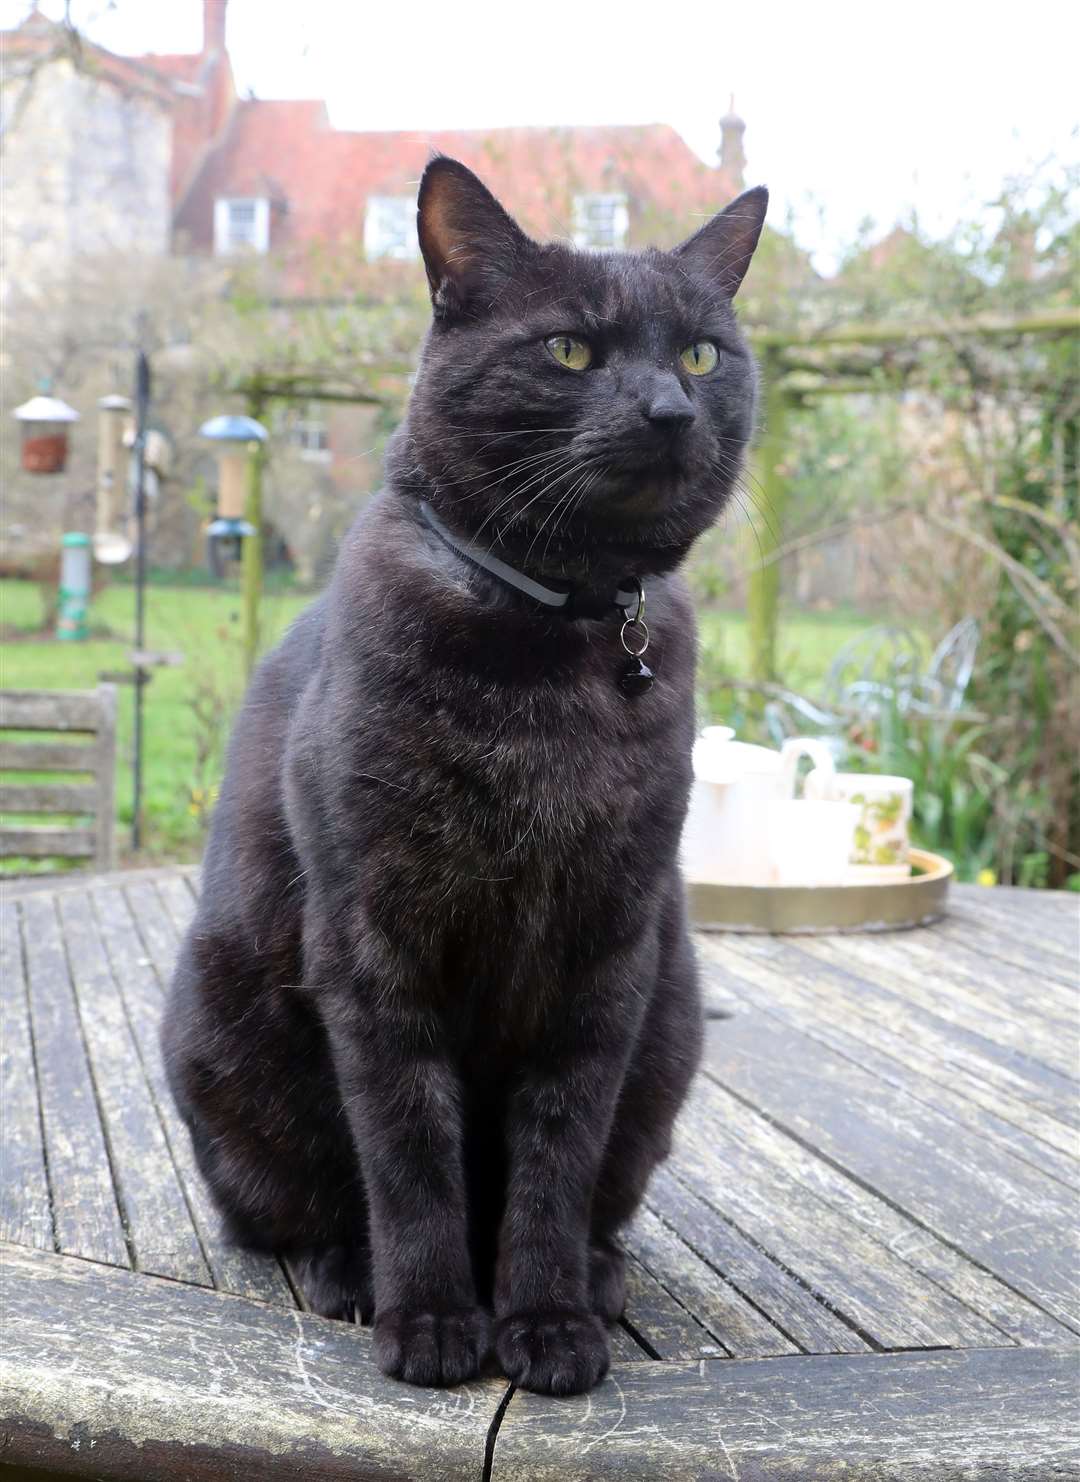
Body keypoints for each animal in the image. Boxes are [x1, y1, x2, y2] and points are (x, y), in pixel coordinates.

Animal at [162, 162, 764, 1399]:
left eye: (700, 355)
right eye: (570, 350)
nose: (669, 411)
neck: (555, 643)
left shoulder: (607, 948)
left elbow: (556, 1154)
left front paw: (547, 1322)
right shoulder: (375, 943)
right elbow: (410, 1152)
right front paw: (436, 1320)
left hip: (669, 1028)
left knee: (599, 1196)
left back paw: (600, 1274)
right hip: (223, 1025)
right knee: (295, 1207)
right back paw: (351, 1272)